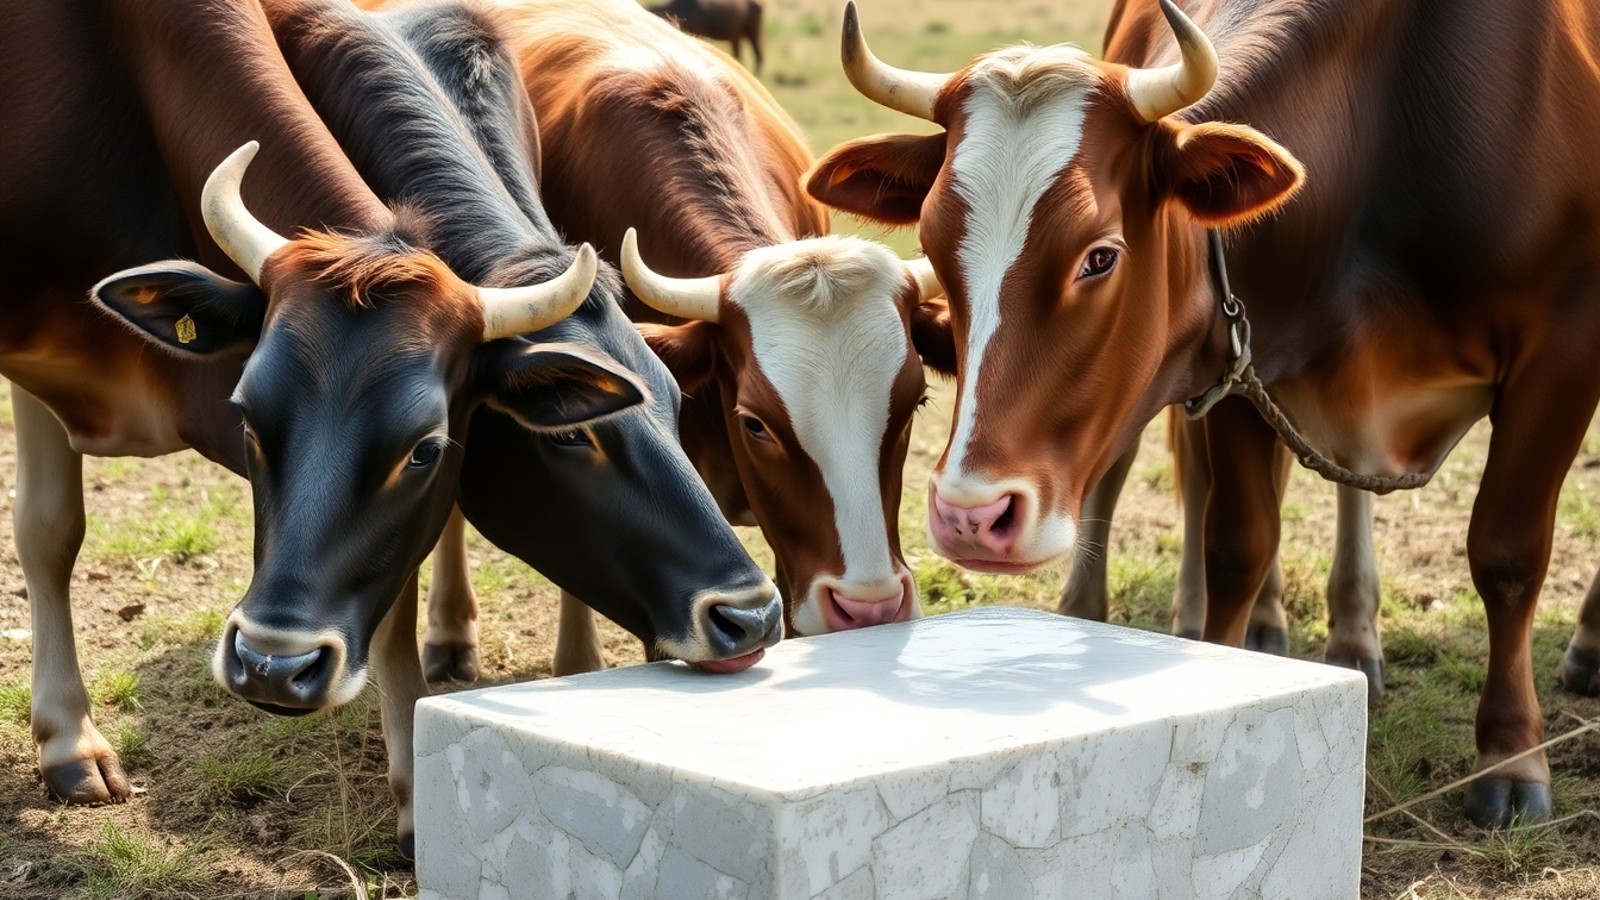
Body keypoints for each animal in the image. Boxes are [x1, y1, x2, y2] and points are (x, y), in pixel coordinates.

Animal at [8, 0, 779, 855]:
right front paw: (71, 745)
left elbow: (398, 594)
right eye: (247, 415)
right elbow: (49, 531)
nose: (750, 613)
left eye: (427, 447)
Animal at [805, 0, 1600, 827]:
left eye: (1099, 256)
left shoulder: (1565, 352)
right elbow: (1238, 545)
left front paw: (1510, 756)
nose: (969, 515)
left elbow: (1507, 554)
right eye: (932, 245)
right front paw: (1223, 663)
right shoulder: (1244, 358)